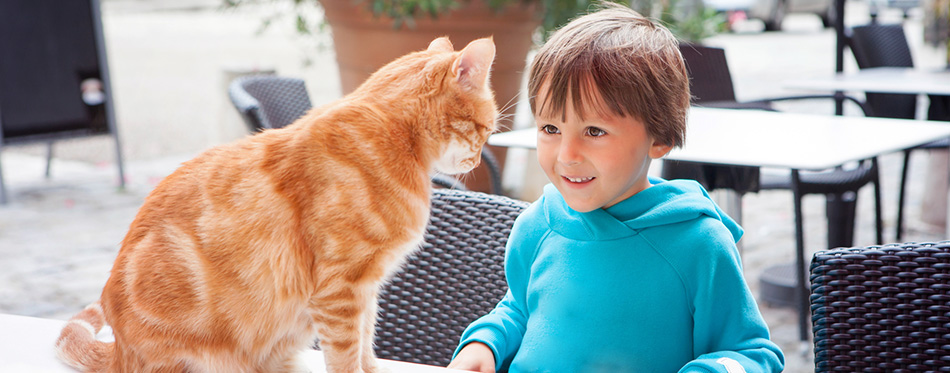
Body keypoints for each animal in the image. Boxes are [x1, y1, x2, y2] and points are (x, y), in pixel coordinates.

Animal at [54, 35, 498, 372]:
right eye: (485, 129)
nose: (478, 161)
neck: (396, 140)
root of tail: (120, 351)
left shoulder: (367, 287)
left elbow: (366, 343)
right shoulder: (341, 289)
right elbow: (346, 354)